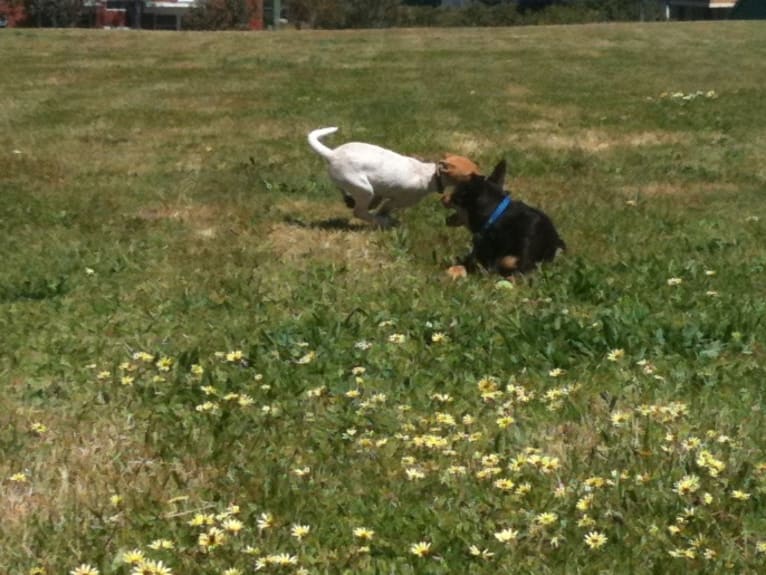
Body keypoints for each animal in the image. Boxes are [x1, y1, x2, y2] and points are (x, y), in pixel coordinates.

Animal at [308, 127, 476, 228]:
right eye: (471, 174)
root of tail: (332, 154)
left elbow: (377, 203)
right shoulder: (396, 201)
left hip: (354, 185)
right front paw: (388, 221)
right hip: (364, 189)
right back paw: (381, 221)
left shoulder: (381, 193)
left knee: (347, 194)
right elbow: (383, 210)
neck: (430, 175)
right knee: (360, 212)